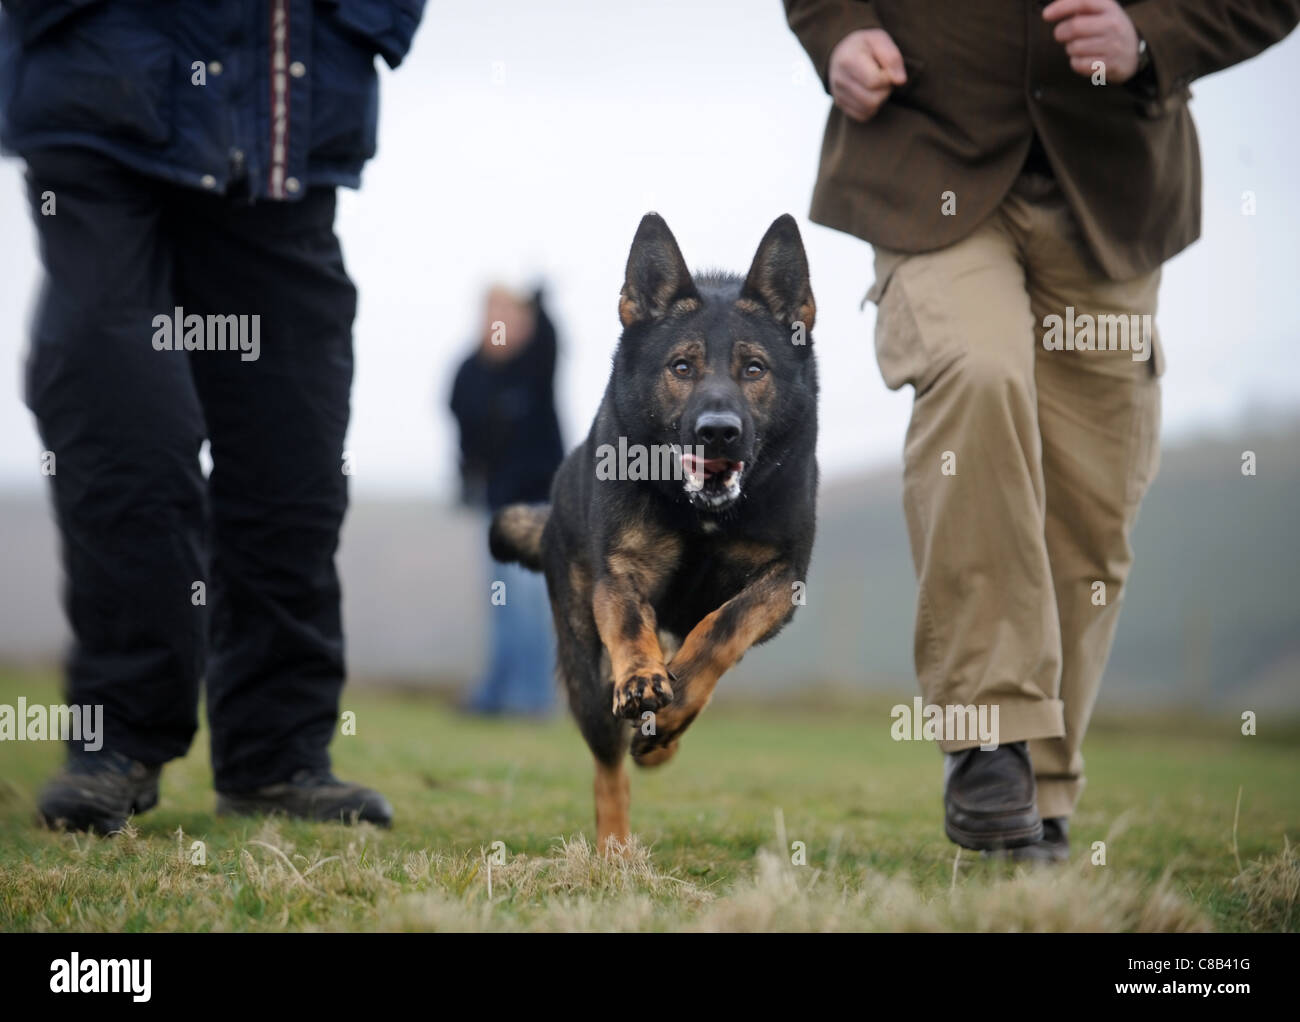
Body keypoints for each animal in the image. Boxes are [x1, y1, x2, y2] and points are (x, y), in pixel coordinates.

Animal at [491, 210, 816, 847]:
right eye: (682, 367)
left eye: (755, 369)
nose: (718, 432)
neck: (701, 514)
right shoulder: (620, 575)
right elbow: (630, 629)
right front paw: (643, 679)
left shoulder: (782, 579)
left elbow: (724, 626)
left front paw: (675, 701)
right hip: (584, 673)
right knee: (607, 765)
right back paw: (615, 846)